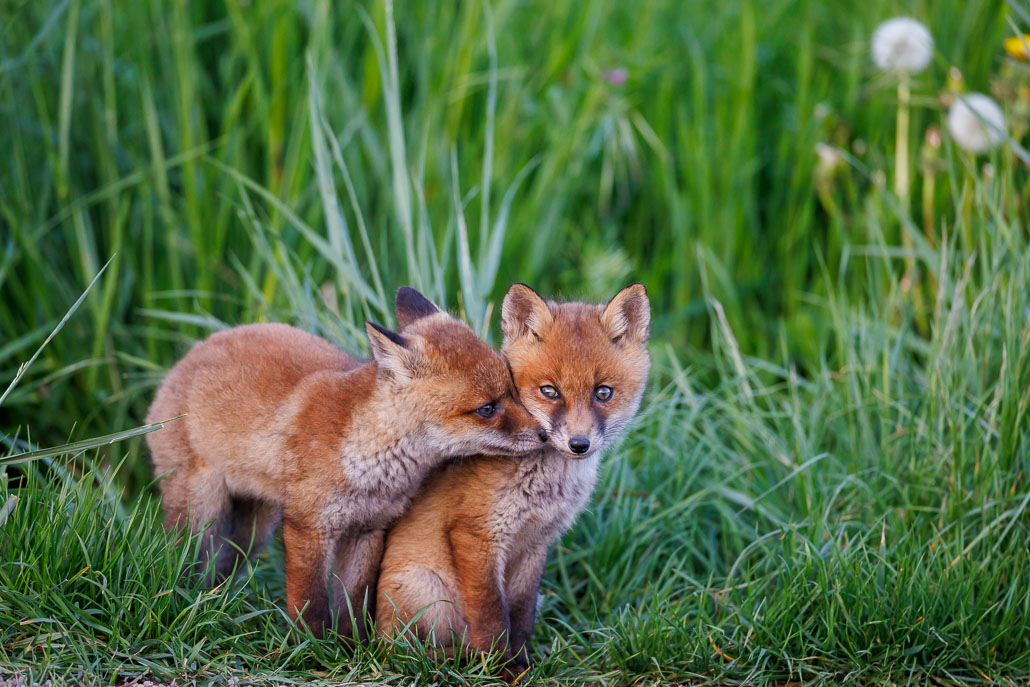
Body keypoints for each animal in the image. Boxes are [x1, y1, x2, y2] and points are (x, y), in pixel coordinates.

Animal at [145, 287, 547, 640]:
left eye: (514, 390)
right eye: (487, 408)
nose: (544, 434)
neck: (370, 463)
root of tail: (195, 350)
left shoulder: (368, 529)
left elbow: (352, 602)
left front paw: (350, 648)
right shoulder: (307, 526)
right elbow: (309, 602)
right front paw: (311, 651)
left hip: (255, 528)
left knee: (224, 566)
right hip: (203, 513)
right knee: (184, 558)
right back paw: (185, 602)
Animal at [375, 283, 650, 676]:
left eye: (603, 392)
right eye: (550, 391)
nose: (579, 444)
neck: (542, 491)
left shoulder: (536, 543)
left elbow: (520, 614)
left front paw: (523, 663)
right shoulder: (476, 535)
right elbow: (491, 617)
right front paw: (500, 670)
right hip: (426, 590)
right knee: (410, 652)